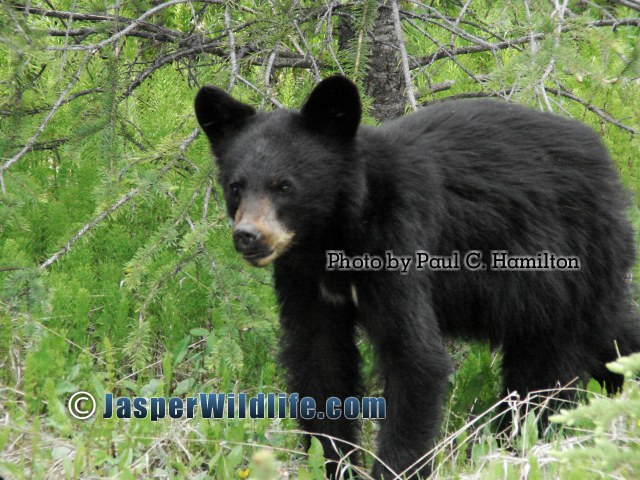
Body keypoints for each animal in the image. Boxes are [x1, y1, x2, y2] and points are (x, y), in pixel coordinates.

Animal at [194, 77, 640, 478]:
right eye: (236, 186)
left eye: (284, 186)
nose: (248, 236)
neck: (333, 237)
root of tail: (609, 168)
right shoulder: (303, 277)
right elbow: (318, 359)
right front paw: (333, 462)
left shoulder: (397, 239)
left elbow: (413, 356)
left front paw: (394, 467)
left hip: (565, 271)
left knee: (549, 371)